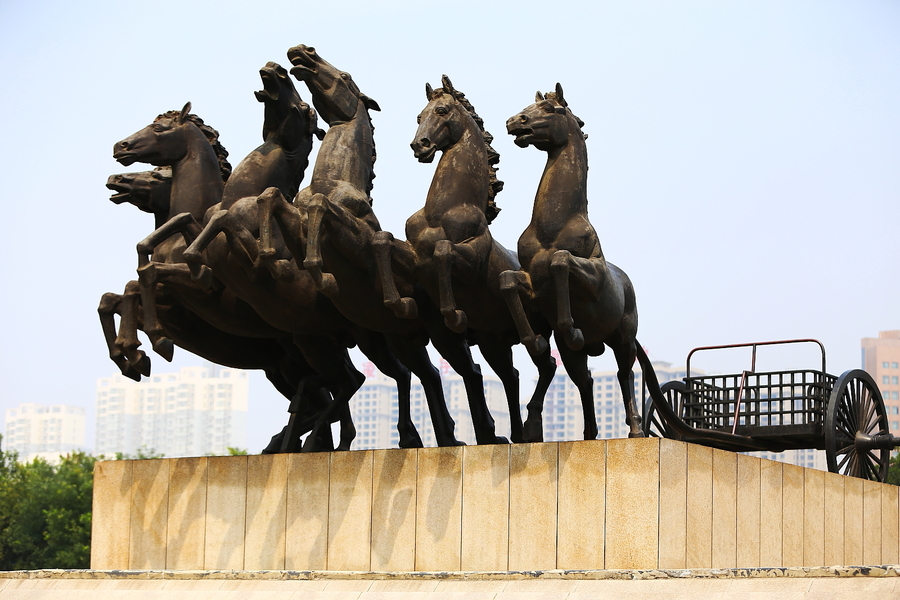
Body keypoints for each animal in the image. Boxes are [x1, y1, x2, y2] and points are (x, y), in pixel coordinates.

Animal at [502, 84, 644, 440]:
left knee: (624, 374)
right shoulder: (532, 284)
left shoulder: (590, 277)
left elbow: (561, 262)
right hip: (572, 354)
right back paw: (589, 433)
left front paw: (573, 328)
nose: (514, 122)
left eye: (551, 109)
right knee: (585, 380)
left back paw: (636, 430)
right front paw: (536, 342)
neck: (551, 228)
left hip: (624, 338)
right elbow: (507, 280)